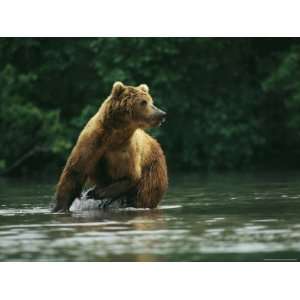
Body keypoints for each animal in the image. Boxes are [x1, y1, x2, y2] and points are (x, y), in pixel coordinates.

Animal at [52, 82, 168, 212]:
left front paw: (94, 193)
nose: (162, 114)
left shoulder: (125, 150)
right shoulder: (91, 143)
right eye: (143, 102)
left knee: (143, 194)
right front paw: (60, 207)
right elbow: (74, 173)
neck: (114, 135)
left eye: (151, 101)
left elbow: (129, 176)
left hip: (152, 171)